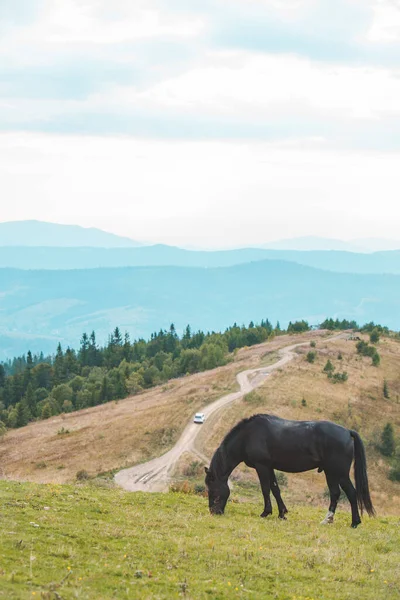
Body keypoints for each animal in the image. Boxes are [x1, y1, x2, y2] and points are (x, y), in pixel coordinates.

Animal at [205, 414, 376, 528]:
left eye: (212, 490)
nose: (214, 512)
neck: (248, 435)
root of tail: (347, 432)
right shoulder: (269, 467)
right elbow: (275, 489)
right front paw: (282, 513)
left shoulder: (262, 466)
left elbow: (265, 489)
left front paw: (266, 512)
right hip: (332, 473)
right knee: (336, 494)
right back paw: (330, 520)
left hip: (338, 473)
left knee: (350, 493)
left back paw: (353, 522)